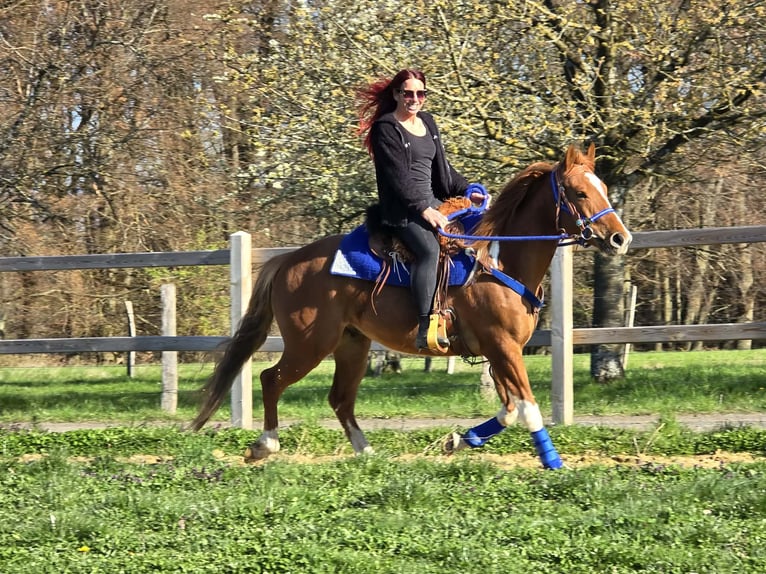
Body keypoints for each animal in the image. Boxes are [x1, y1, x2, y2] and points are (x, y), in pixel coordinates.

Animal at [191, 143, 632, 469]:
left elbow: (509, 409)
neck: (498, 261)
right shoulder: (503, 347)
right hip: (310, 344)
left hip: (352, 345)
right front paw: (553, 461)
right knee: (271, 379)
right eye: (579, 192)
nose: (619, 238)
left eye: (603, 188)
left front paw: (460, 439)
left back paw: (367, 453)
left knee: (340, 399)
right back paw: (265, 445)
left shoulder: (499, 352)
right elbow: (527, 408)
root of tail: (287, 261)